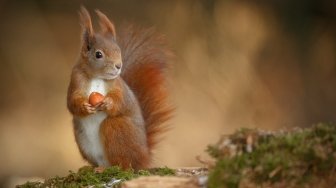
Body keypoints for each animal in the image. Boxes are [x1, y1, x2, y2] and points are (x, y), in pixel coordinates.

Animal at [68, 6, 173, 170]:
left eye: (118, 51)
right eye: (98, 54)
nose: (119, 66)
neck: (97, 76)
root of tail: (144, 158)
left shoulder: (118, 86)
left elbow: (120, 100)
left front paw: (108, 103)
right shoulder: (76, 80)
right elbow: (72, 101)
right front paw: (84, 107)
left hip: (116, 128)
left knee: (124, 163)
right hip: (82, 139)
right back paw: (94, 168)